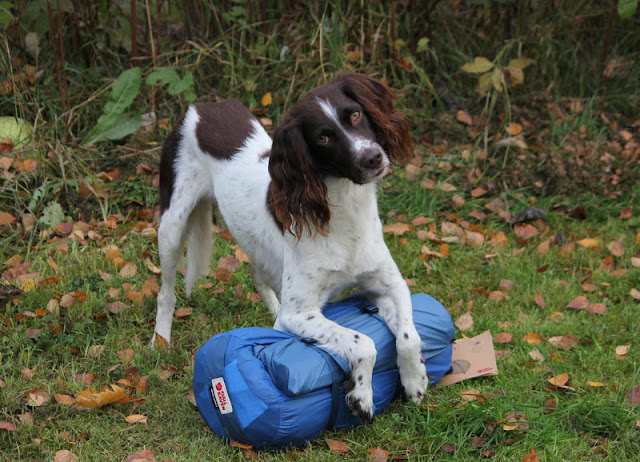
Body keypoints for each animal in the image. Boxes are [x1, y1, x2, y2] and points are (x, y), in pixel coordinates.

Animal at [152, 73, 428, 422]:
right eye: (322, 138)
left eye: (355, 114)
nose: (373, 157)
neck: (345, 212)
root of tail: (201, 106)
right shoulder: (299, 313)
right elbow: (364, 342)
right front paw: (362, 395)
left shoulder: (390, 284)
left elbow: (409, 336)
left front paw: (415, 381)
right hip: (172, 224)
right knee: (166, 293)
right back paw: (160, 340)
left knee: (259, 277)